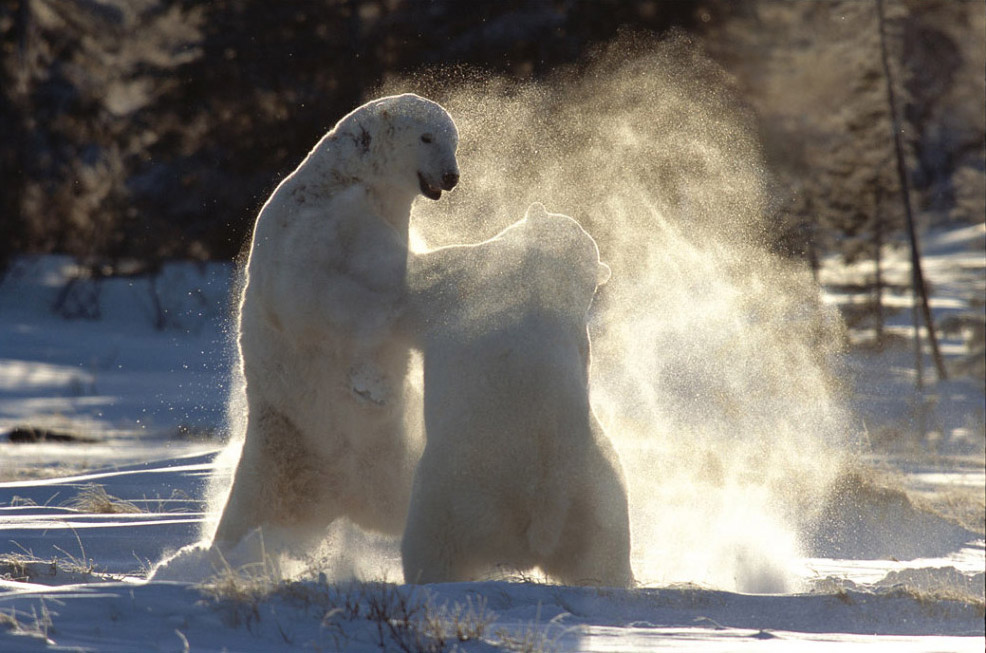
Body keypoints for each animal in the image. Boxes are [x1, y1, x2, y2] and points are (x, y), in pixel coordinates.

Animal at [213, 93, 460, 552]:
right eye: (426, 136)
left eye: (454, 139)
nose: (451, 176)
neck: (350, 178)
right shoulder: (322, 231)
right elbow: (333, 296)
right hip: (292, 438)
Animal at [398, 200, 632, 584]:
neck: (550, 273)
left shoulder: (472, 275)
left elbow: (422, 282)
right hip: (599, 495)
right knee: (604, 561)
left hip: (461, 482)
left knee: (431, 545)